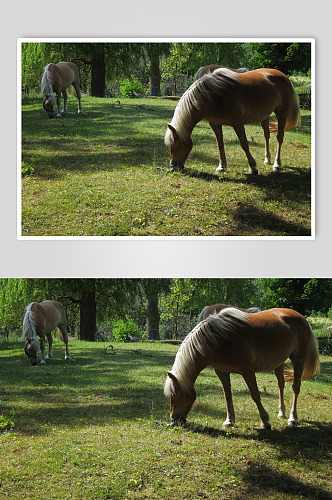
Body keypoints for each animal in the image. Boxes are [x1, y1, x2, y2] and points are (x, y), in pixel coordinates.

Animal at [165, 68, 300, 174]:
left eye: (174, 144)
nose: (172, 165)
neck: (213, 96)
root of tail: (285, 77)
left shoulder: (237, 123)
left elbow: (244, 144)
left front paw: (252, 167)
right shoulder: (215, 124)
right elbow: (220, 144)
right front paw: (221, 167)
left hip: (281, 113)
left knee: (279, 138)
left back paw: (277, 164)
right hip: (264, 116)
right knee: (266, 135)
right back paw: (267, 160)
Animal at [165, 306, 320, 428]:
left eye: (175, 394)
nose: (174, 420)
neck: (219, 340)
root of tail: (302, 318)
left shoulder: (247, 371)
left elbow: (255, 394)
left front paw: (265, 421)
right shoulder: (221, 372)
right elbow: (227, 395)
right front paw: (229, 421)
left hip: (298, 359)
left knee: (296, 387)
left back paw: (292, 418)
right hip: (278, 363)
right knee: (281, 384)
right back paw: (281, 413)